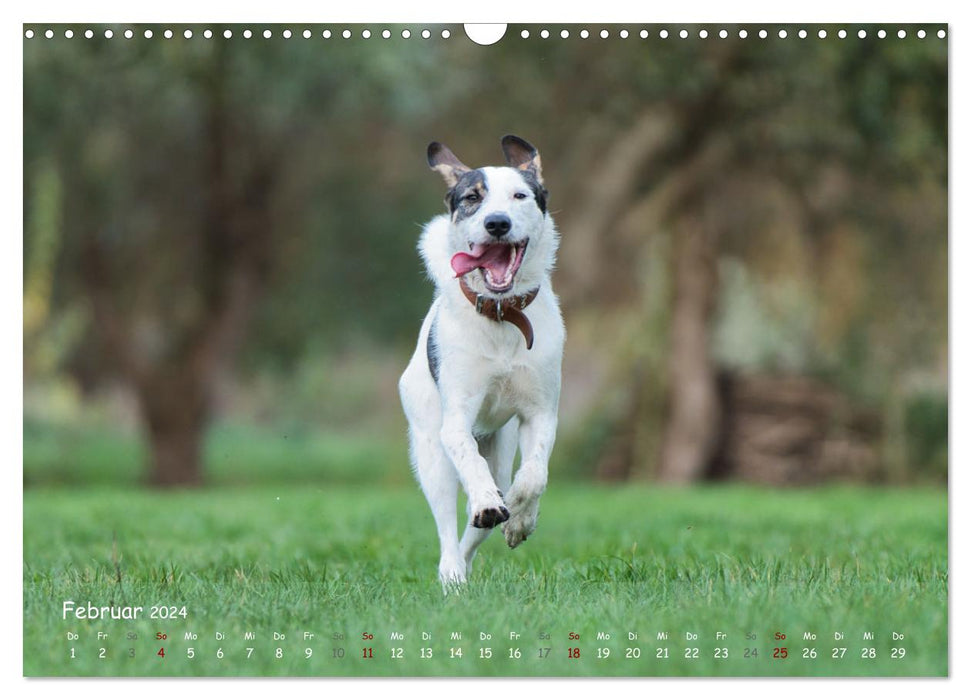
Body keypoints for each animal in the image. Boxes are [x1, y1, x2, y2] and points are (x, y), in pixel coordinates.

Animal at [398, 135, 564, 584]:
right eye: (472, 198)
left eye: (520, 195)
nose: (497, 224)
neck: (503, 313)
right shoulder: (456, 417)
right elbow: (470, 463)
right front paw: (489, 504)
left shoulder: (541, 410)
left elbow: (535, 474)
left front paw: (520, 518)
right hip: (429, 447)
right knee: (447, 519)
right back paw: (453, 571)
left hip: (500, 445)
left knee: (481, 519)